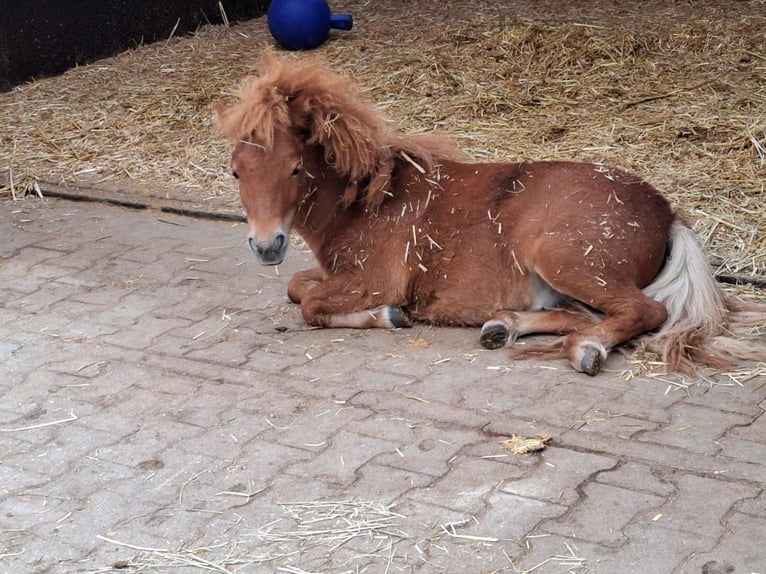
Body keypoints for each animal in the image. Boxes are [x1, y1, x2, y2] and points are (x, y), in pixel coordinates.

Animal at [216, 53, 766, 378]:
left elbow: (310, 305)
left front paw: (390, 316)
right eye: (236, 171)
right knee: (580, 313)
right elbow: (298, 287)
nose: (266, 246)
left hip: (565, 259)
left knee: (644, 312)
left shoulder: (372, 280)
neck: (368, 198)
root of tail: (667, 213)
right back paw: (503, 327)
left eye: (294, 168)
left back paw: (586, 350)